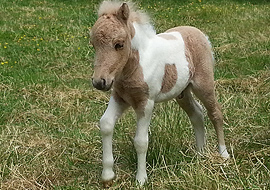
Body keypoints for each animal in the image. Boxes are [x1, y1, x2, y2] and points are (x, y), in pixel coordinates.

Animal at [90, 0, 230, 186]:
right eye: (93, 45)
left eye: (119, 44)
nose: (99, 82)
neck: (136, 66)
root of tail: (200, 34)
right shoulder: (120, 98)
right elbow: (105, 124)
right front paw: (107, 176)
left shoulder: (146, 103)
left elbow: (141, 141)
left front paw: (141, 179)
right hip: (182, 92)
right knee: (197, 113)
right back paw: (200, 153)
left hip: (204, 85)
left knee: (215, 113)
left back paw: (223, 154)